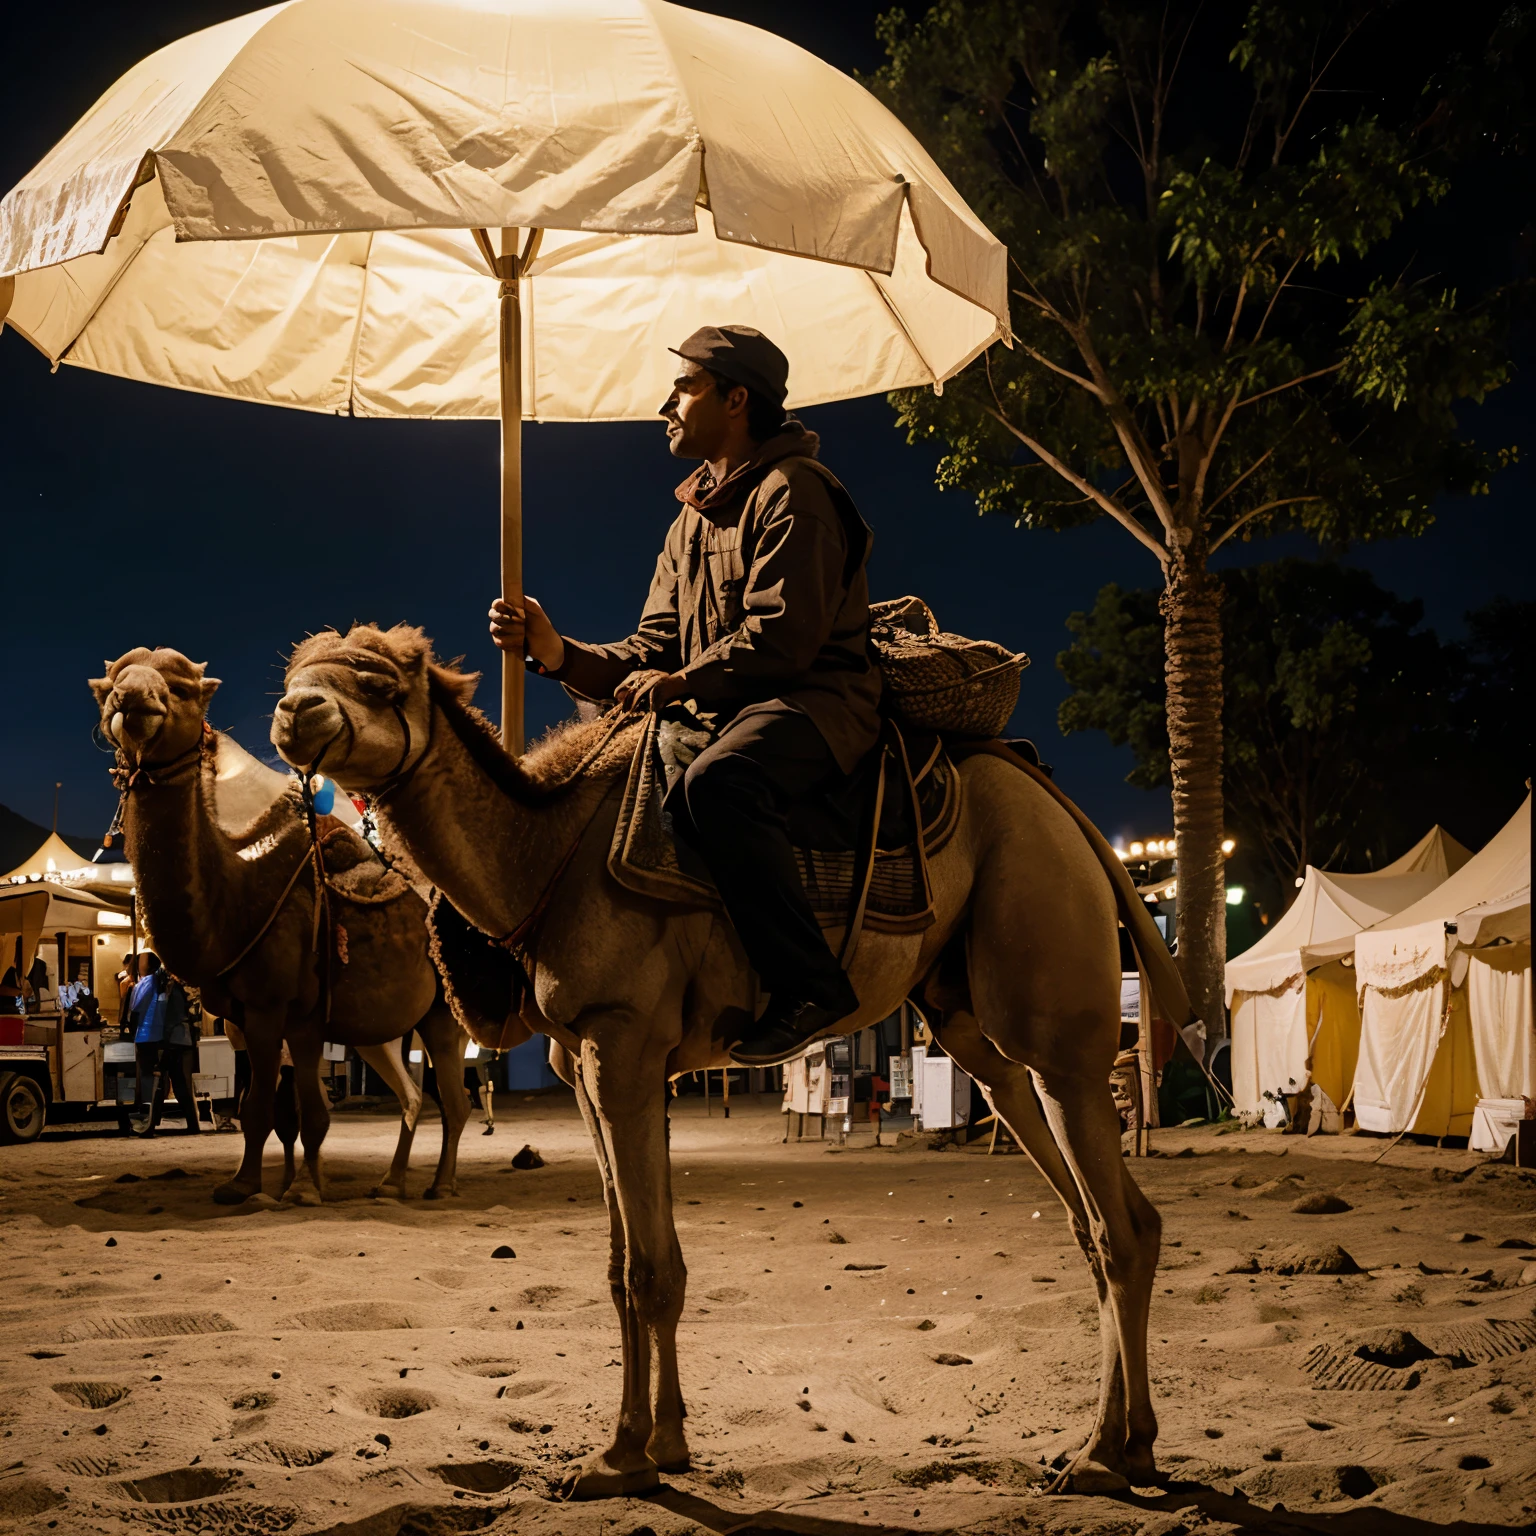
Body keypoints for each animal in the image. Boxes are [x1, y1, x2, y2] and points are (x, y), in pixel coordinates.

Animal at [89, 645, 470, 1198]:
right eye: (110, 686)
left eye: (180, 688)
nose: (131, 697)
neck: (237, 895)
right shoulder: (250, 1019)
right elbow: (274, 1111)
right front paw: (268, 1183)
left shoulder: (284, 1011)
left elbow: (291, 1113)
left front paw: (285, 1187)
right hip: (381, 1030)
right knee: (413, 1095)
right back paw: (391, 1181)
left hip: (444, 1012)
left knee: (453, 1100)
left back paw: (439, 1184)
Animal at [273, 623, 1173, 1499]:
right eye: (300, 670)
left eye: (379, 679)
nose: (293, 713)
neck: (545, 854)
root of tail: (1059, 805)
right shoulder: (590, 1068)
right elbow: (629, 1266)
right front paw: (664, 1444)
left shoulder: (622, 1048)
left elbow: (646, 1271)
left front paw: (622, 1457)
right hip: (970, 1021)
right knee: (1096, 1212)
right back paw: (1123, 1445)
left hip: (1049, 977)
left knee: (1117, 1223)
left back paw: (1102, 1456)